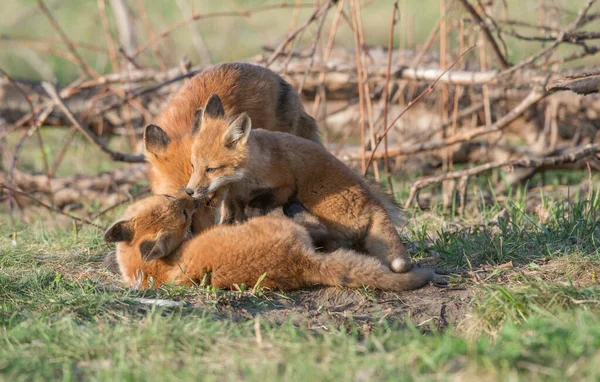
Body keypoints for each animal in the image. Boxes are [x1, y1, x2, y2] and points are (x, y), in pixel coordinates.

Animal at [104, 192, 440, 290]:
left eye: (170, 198)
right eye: (185, 214)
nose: (194, 196)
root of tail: (302, 263)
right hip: (288, 227)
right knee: (316, 227)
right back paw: (290, 205)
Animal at [183, 94, 414, 274]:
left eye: (211, 169)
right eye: (193, 165)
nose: (189, 191)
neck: (243, 178)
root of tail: (374, 203)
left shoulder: (284, 187)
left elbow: (255, 206)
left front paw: (251, 220)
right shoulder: (232, 196)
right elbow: (230, 216)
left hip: (313, 198)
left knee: (327, 236)